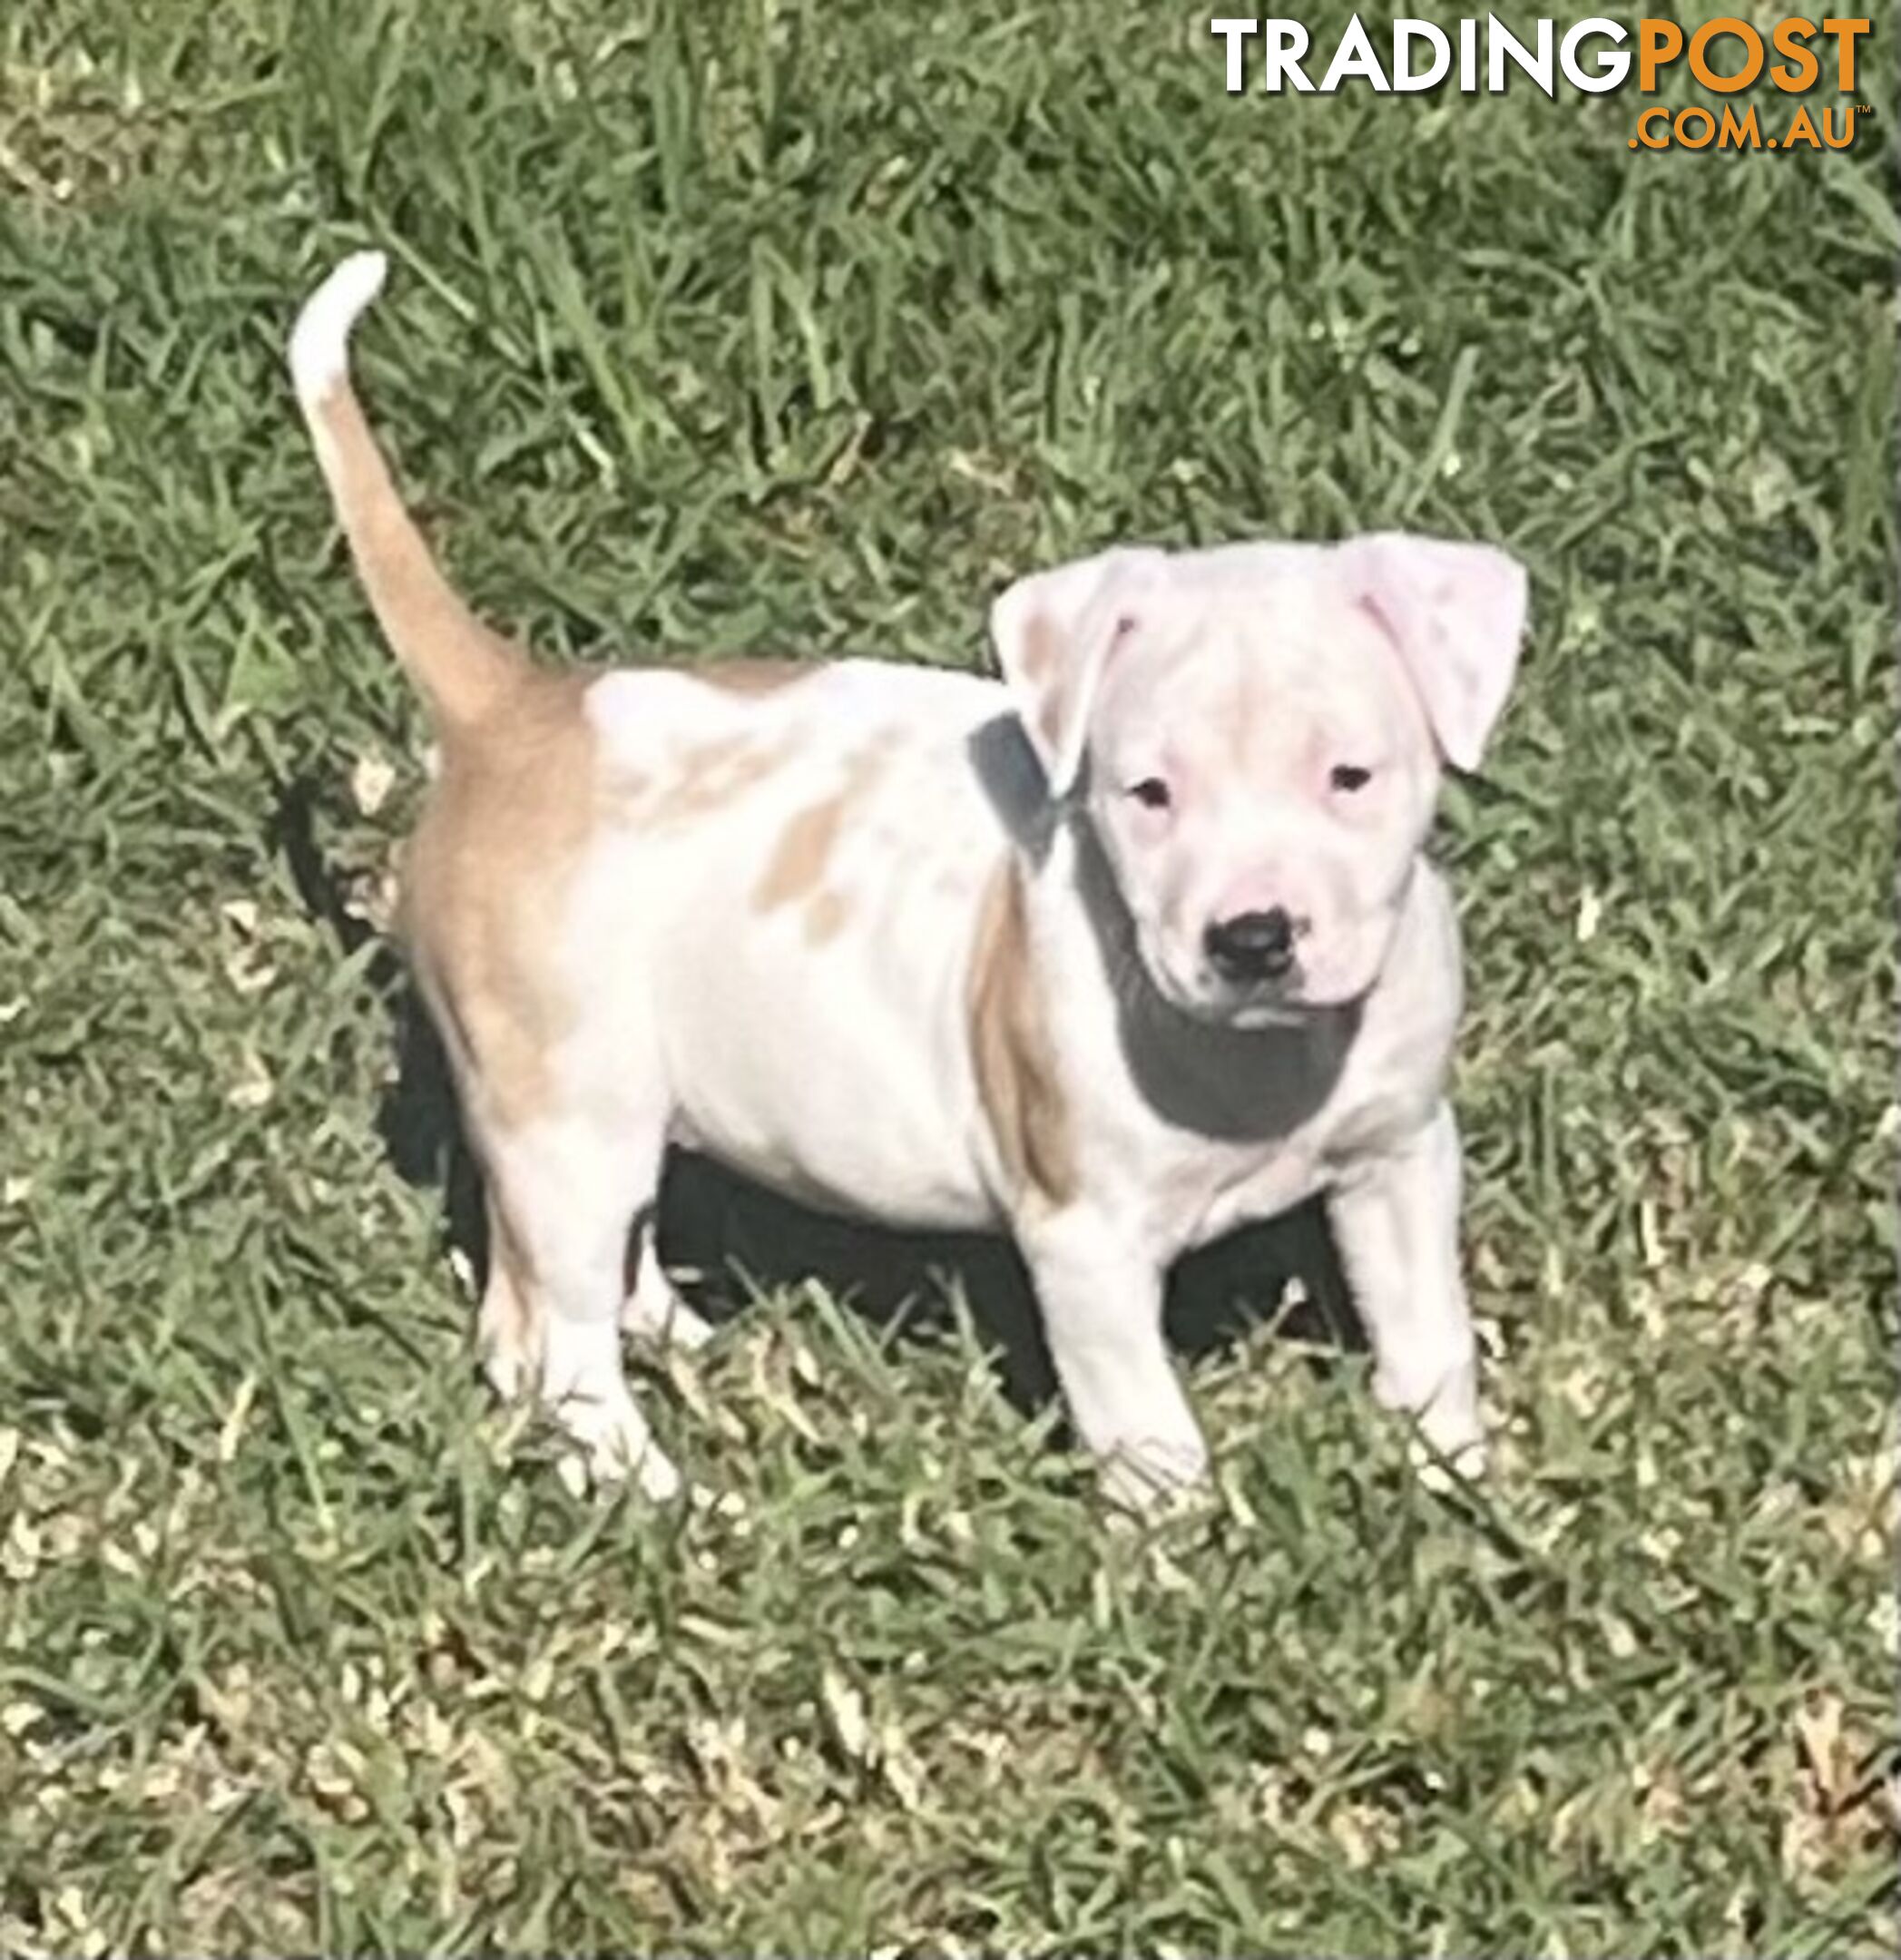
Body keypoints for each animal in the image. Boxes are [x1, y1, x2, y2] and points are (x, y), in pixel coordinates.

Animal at [286, 252, 1528, 1504]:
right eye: (1147, 794)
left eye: (1349, 776)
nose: (1253, 938)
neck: (1262, 1064)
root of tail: (510, 708)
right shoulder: (1085, 1241)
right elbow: (1144, 1421)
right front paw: (1183, 1535)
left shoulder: (1402, 1154)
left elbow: (1427, 1327)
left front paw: (1458, 1474)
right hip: (567, 1108)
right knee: (555, 1340)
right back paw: (652, 1484)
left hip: (594, 1118)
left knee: (542, 1290)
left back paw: (677, 1342)